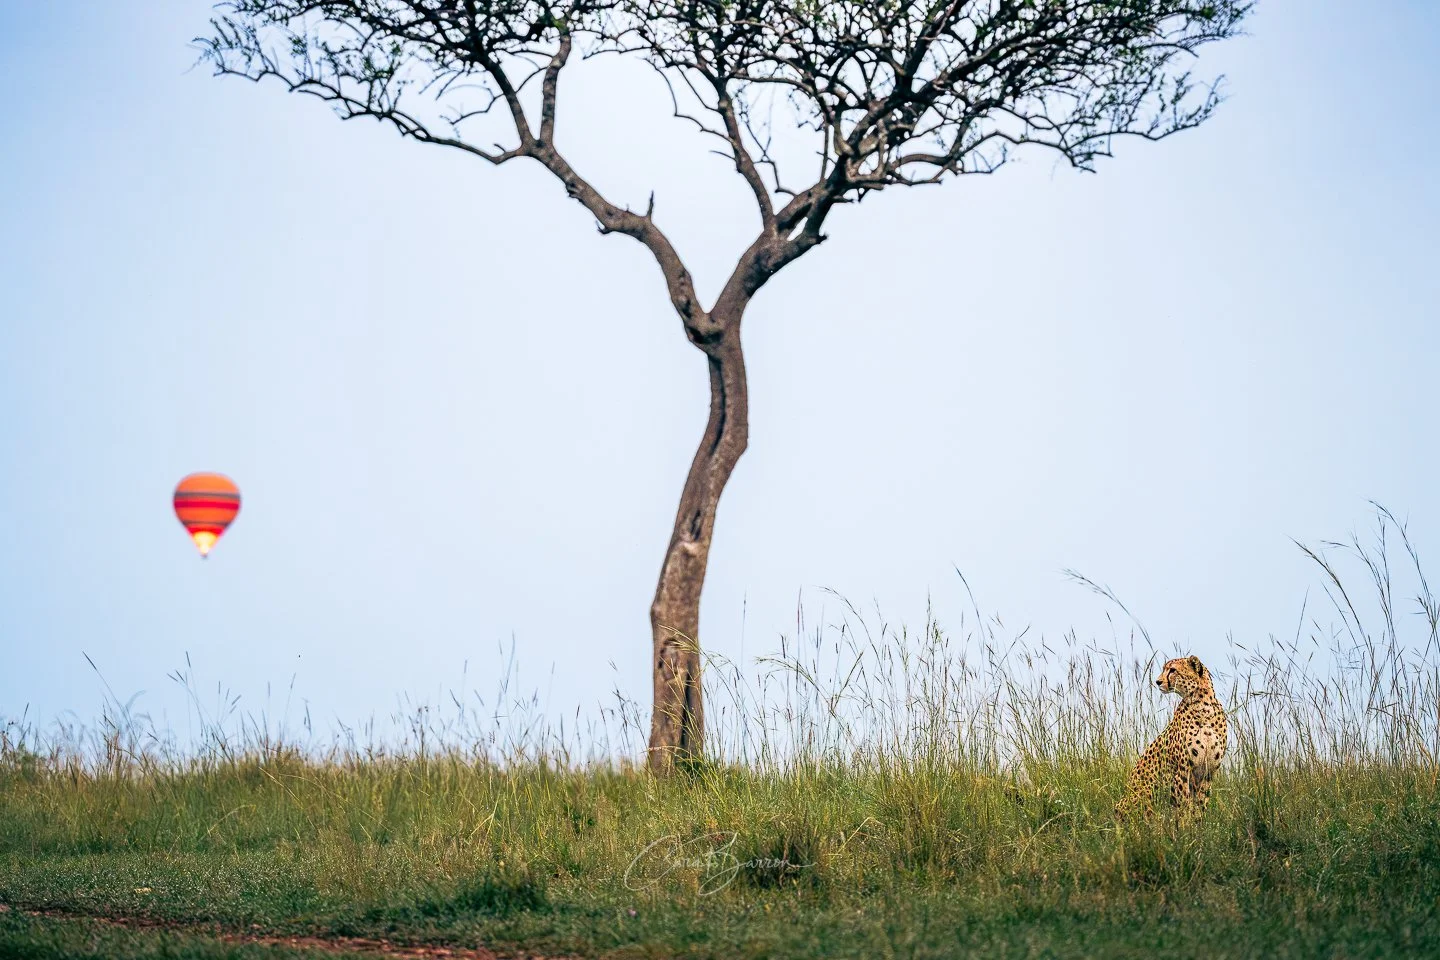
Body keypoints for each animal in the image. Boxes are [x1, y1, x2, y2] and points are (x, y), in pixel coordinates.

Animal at [1115, 655, 1227, 819]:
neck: (1203, 706)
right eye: (1164, 669)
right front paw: (1185, 825)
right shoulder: (1182, 771)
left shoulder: (1208, 771)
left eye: (1173, 670)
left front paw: (1198, 824)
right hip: (1143, 792)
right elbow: (1184, 806)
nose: (1157, 681)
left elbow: (1200, 805)